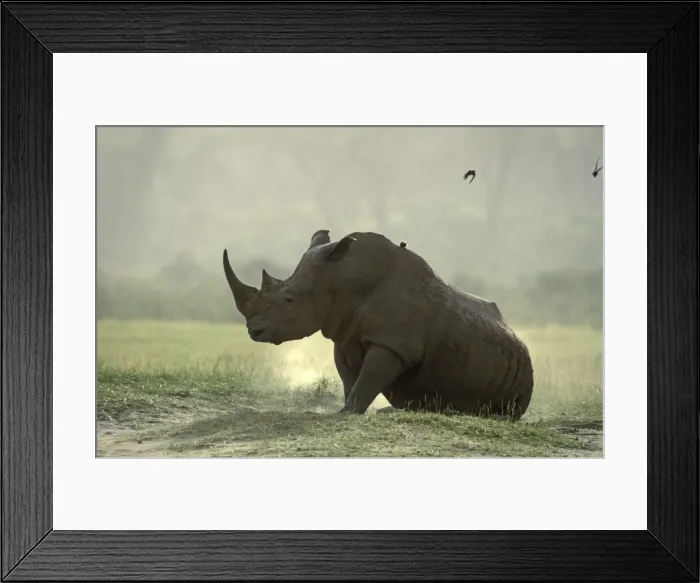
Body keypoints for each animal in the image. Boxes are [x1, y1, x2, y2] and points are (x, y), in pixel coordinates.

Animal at [223, 230, 534, 420]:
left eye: (289, 300)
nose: (254, 331)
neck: (343, 280)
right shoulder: (343, 334)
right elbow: (350, 378)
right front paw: (346, 409)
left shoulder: (394, 344)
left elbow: (369, 377)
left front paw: (348, 413)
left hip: (522, 370)